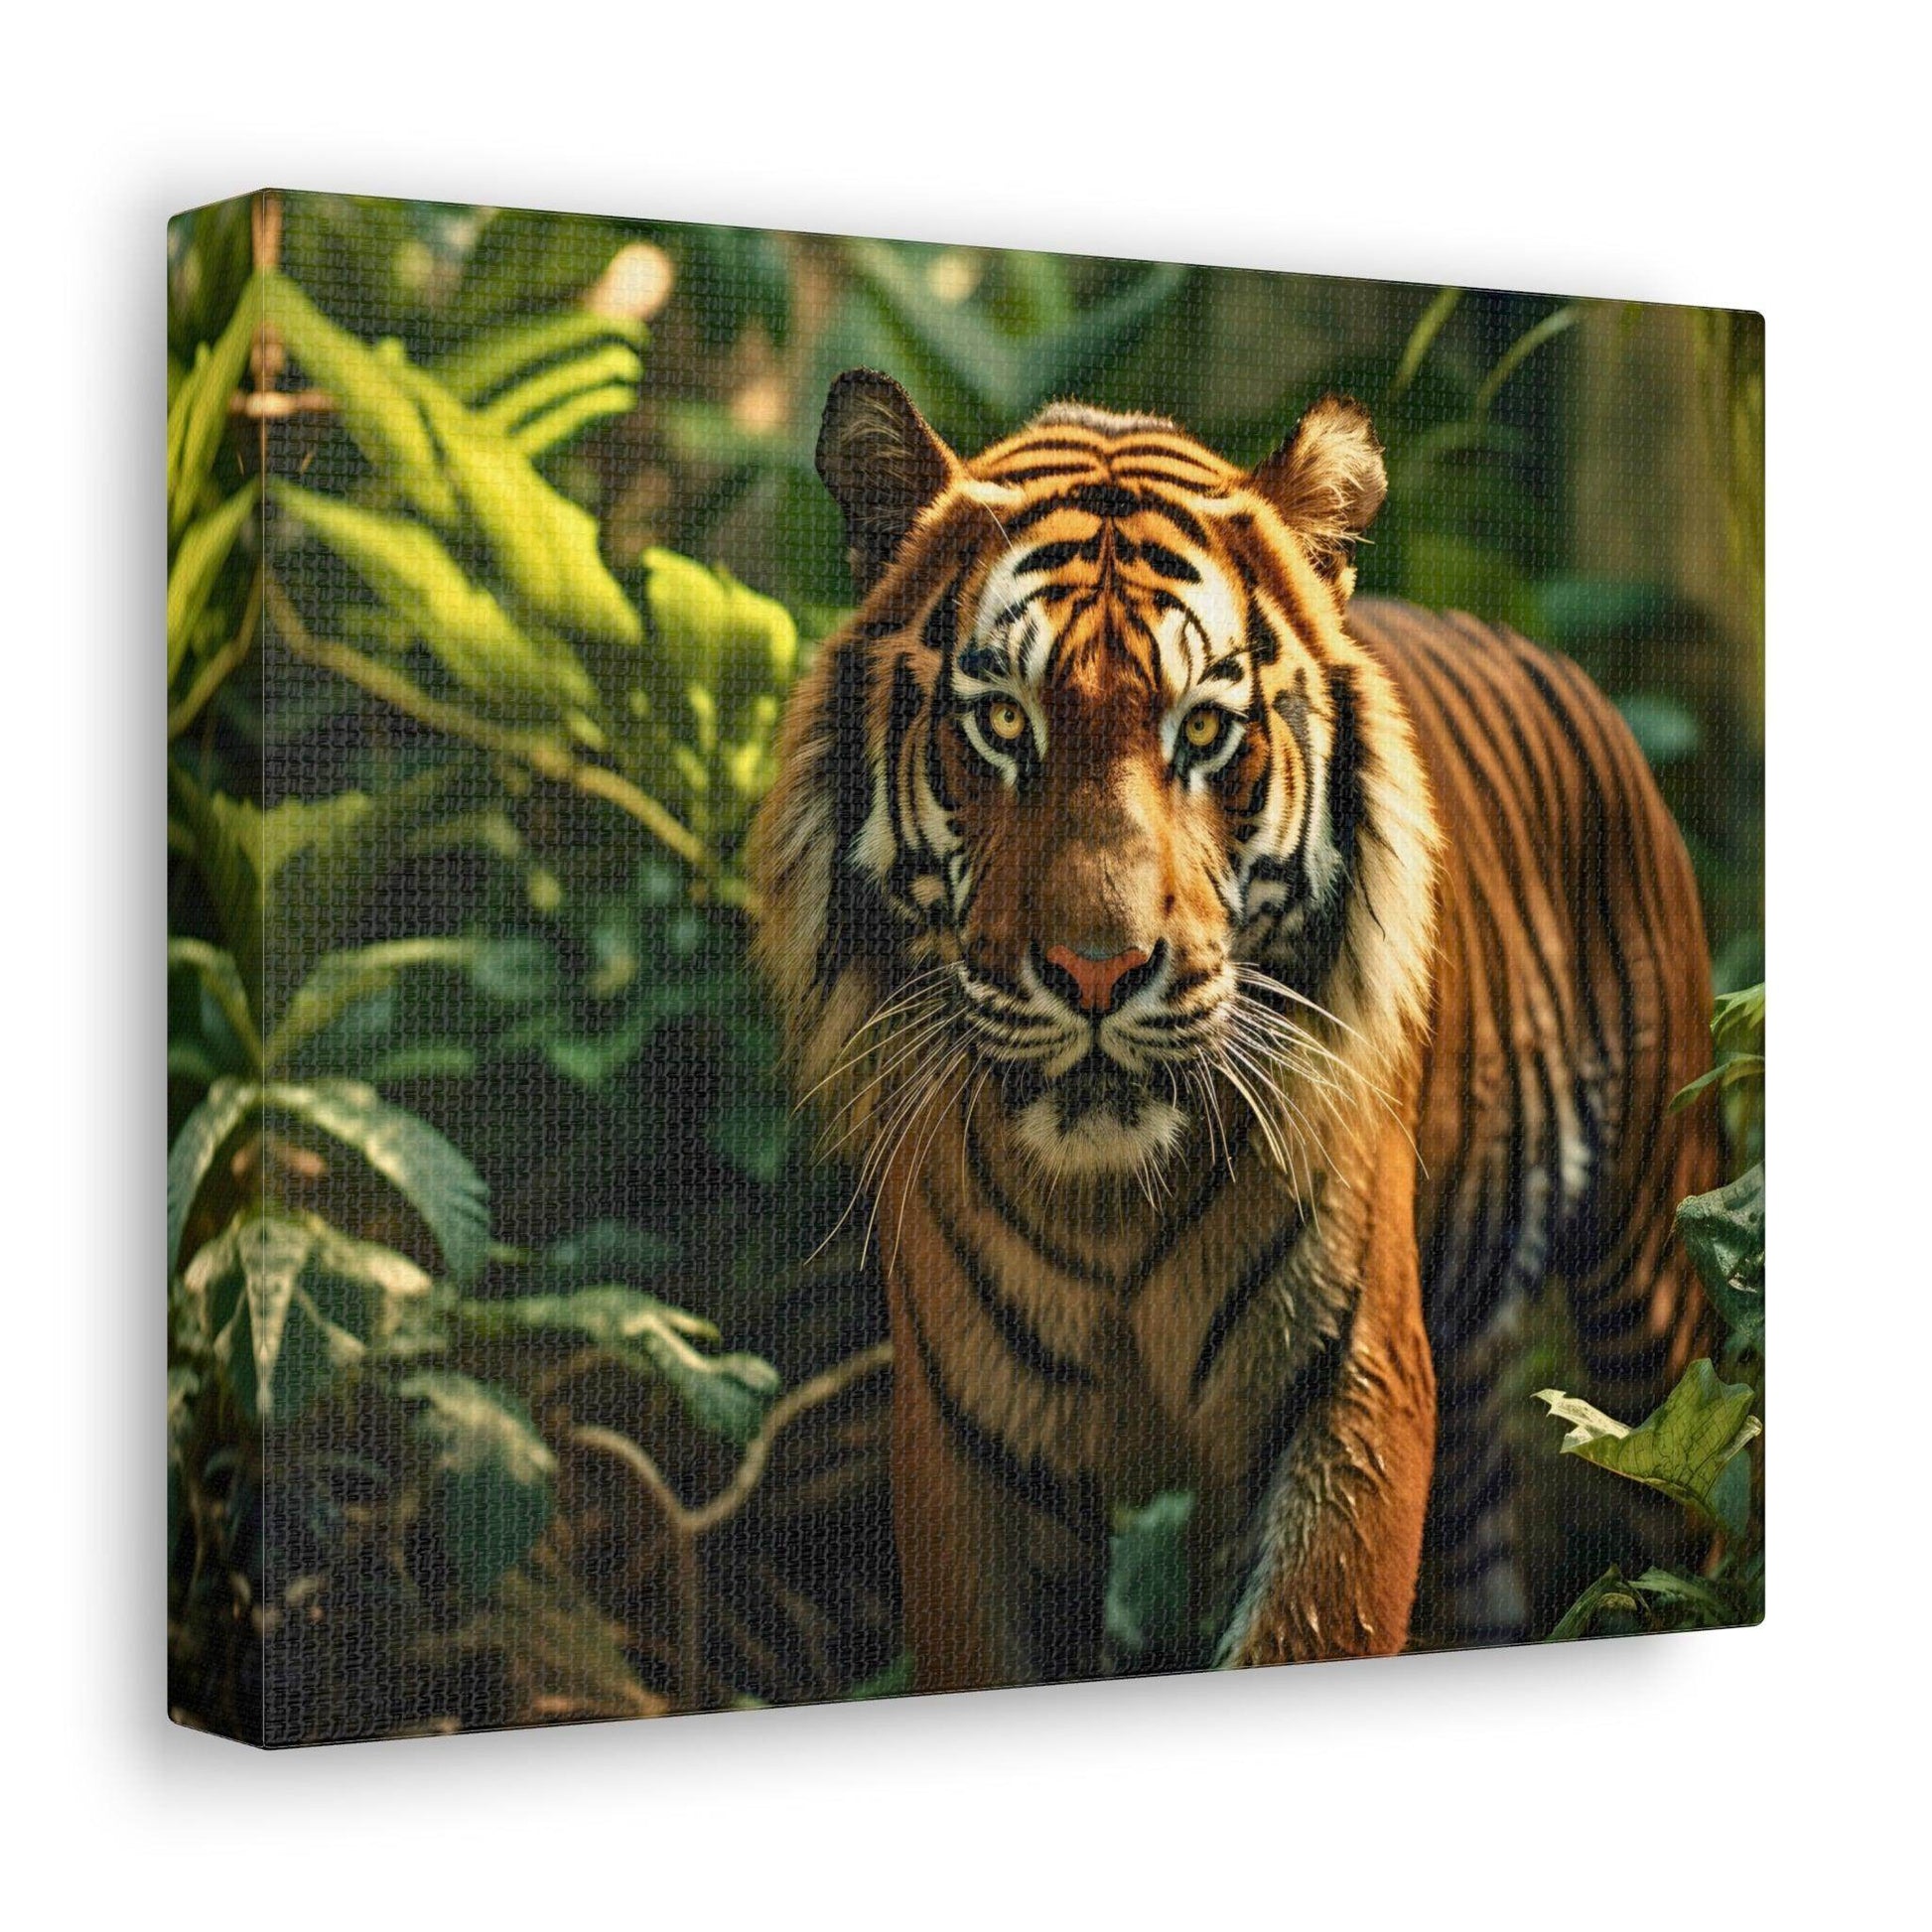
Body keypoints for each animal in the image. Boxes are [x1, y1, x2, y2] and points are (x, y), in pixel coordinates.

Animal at [748, 369, 1718, 1691]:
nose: (1096, 970)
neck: (1108, 1206)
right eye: (1000, 722)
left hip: (1654, 1270)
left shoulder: (1342, 1393)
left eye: (1202, 732)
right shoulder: (971, 1438)